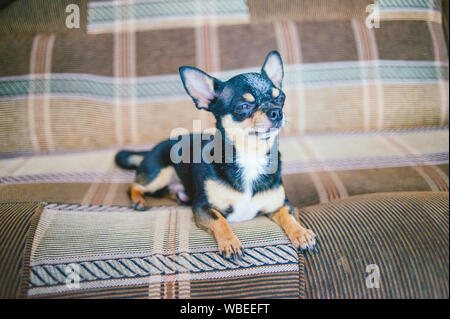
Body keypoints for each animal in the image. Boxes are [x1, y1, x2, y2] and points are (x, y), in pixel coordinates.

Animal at [116, 50, 316, 260]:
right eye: (244, 106)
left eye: (281, 98)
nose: (277, 112)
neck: (250, 155)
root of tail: (151, 149)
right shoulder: (202, 207)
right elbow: (220, 219)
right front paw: (230, 242)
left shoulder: (280, 204)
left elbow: (288, 215)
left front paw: (301, 233)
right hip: (160, 174)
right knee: (134, 186)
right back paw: (138, 200)